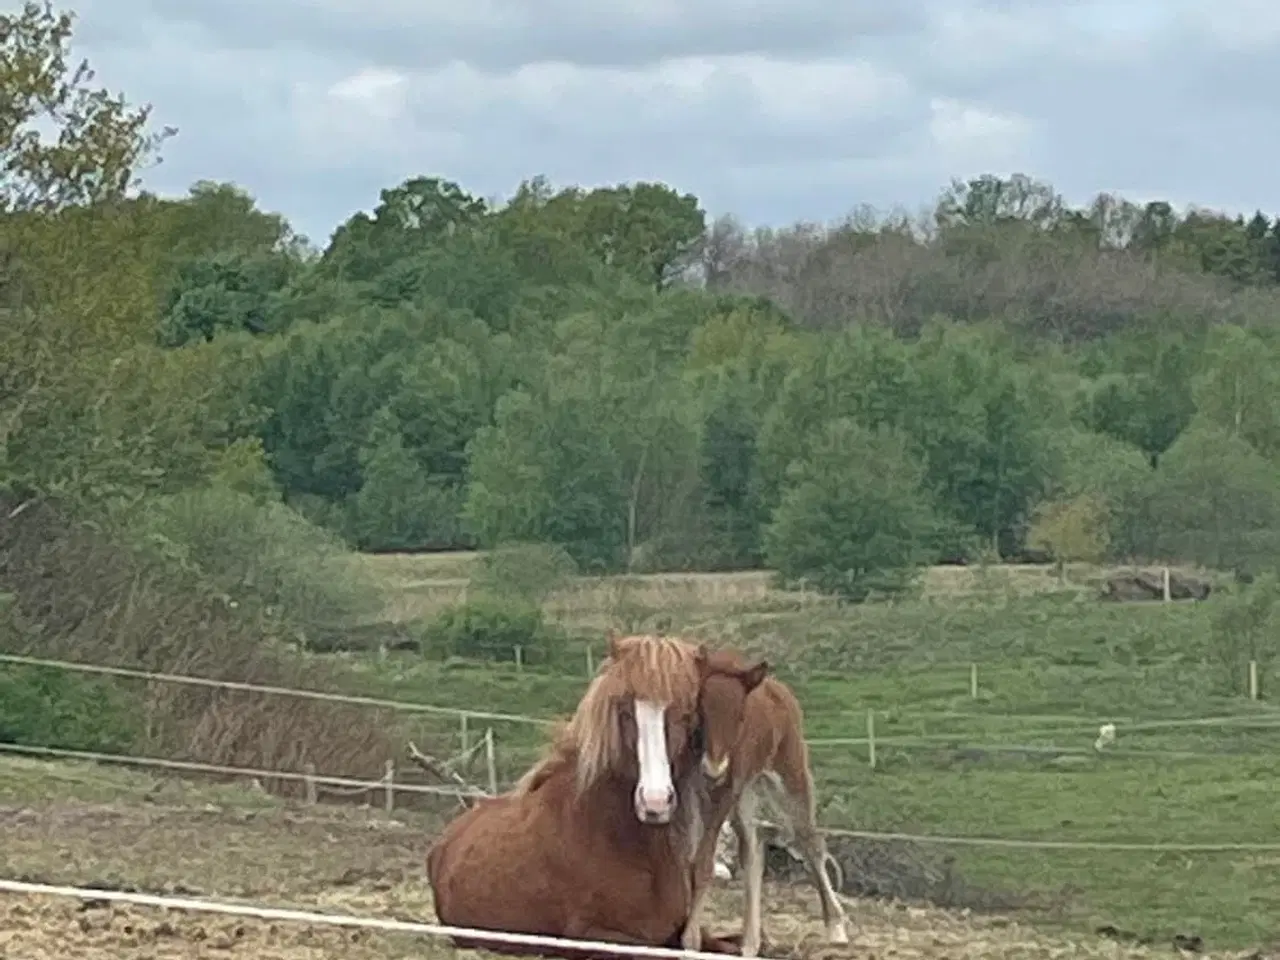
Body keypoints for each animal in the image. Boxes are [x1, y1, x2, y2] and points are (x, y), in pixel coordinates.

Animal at [686, 650, 844, 957]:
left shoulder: (727, 790)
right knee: (753, 848)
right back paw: (750, 942)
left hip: (788, 774)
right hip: (747, 793)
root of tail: (779, 690)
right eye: (702, 710)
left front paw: (690, 940)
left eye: (740, 717)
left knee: (809, 841)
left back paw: (836, 927)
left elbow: (705, 861)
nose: (714, 768)